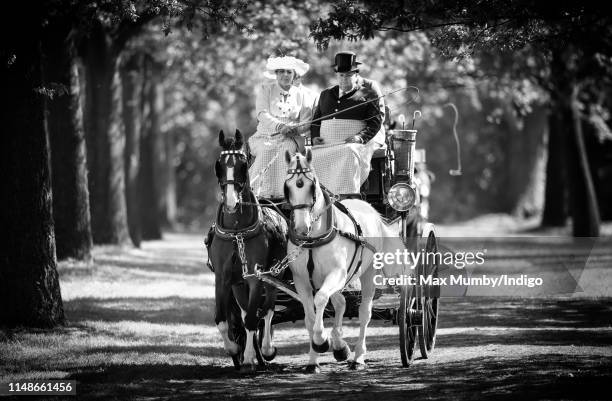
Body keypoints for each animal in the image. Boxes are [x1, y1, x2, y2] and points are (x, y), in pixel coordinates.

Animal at [208, 130, 286, 370]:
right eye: (219, 165)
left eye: (243, 165)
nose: (231, 202)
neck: (237, 231)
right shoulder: (223, 277)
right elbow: (223, 320)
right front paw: (234, 349)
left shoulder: (255, 276)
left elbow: (254, 318)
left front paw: (251, 355)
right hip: (237, 283)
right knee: (244, 314)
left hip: (273, 275)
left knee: (267, 310)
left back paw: (265, 350)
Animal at [284, 150, 404, 372]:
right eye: (287, 187)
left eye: (311, 185)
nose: (302, 228)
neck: (314, 238)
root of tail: (368, 206)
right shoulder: (301, 280)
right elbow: (310, 317)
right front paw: (314, 358)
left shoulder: (336, 273)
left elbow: (320, 299)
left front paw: (322, 340)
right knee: (340, 302)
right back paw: (340, 346)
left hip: (367, 272)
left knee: (364, 312)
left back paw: (358, 357)